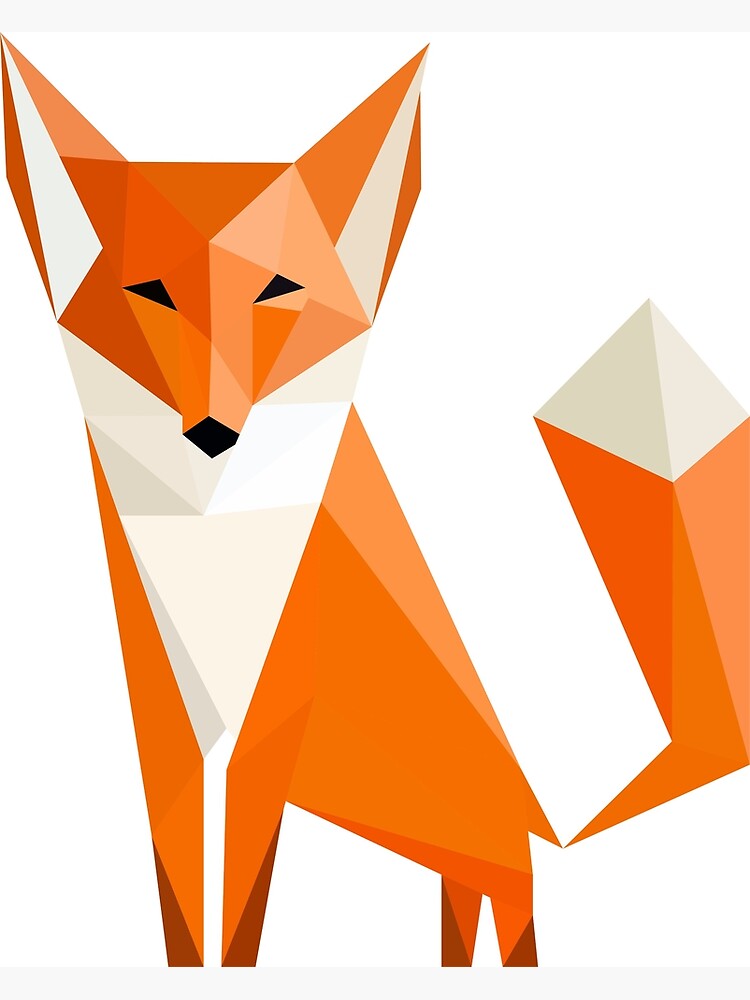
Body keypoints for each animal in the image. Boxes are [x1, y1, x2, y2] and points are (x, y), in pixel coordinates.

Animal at [1, 37, 560, 967]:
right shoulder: (166, 708)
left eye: (277, 289)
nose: (212, 432)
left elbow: (238, 907)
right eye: (150, 292)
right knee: (463, 909)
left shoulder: (266, 729)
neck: (216, 543)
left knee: (513, 910)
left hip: (483, 850)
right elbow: (184, 899)